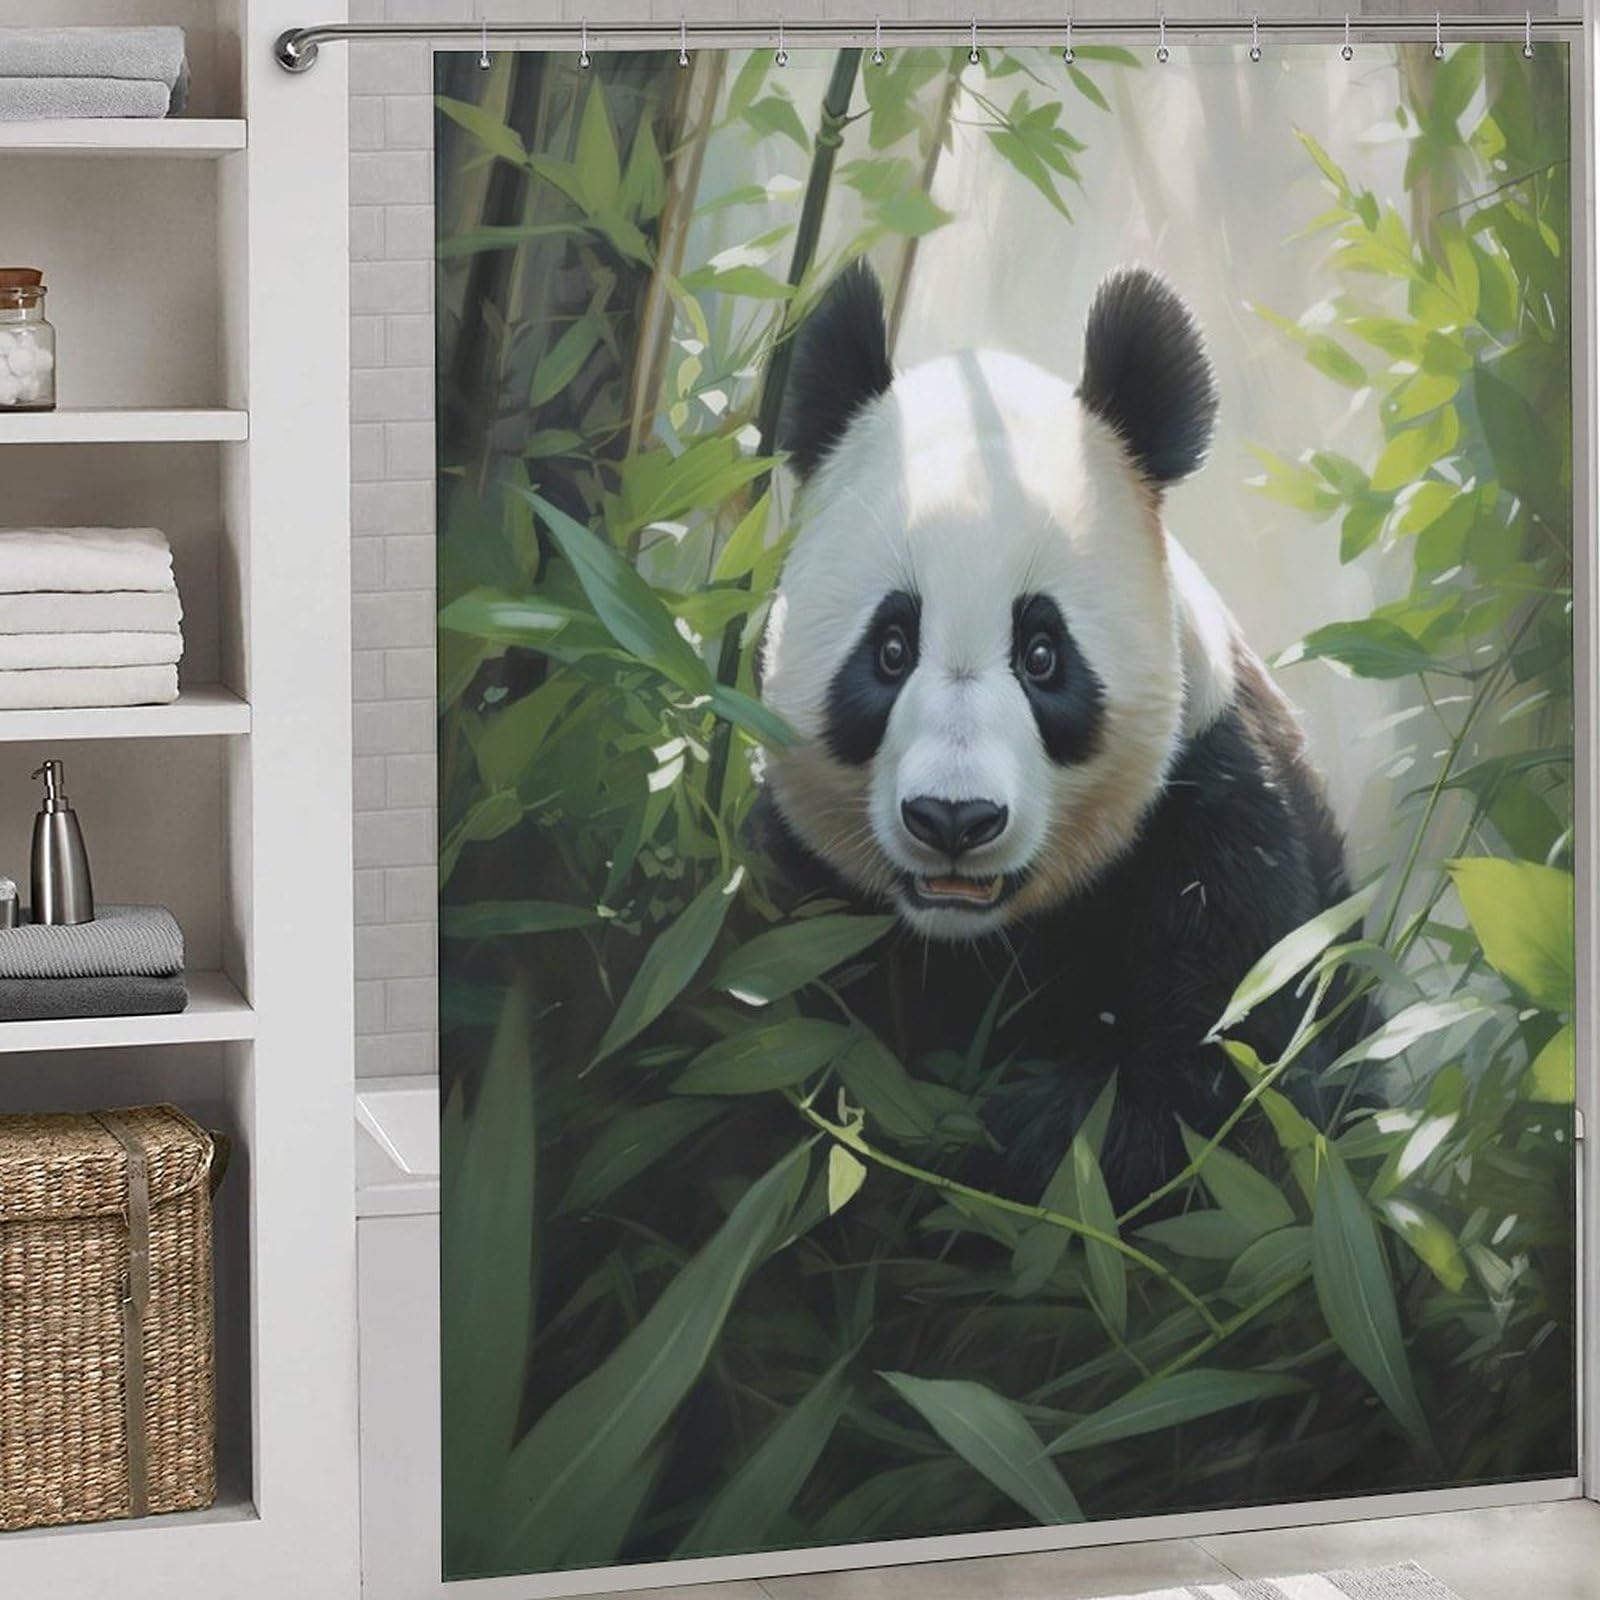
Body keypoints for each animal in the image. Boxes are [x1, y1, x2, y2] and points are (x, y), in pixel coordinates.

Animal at [756, 260, 1358, 1207]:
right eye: (890, 649)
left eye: (1042, 655)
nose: (954, 819)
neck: (975, 937)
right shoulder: (800, 887)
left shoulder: (1217, 812)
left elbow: (1232, 1106)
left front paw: (998, 1137)